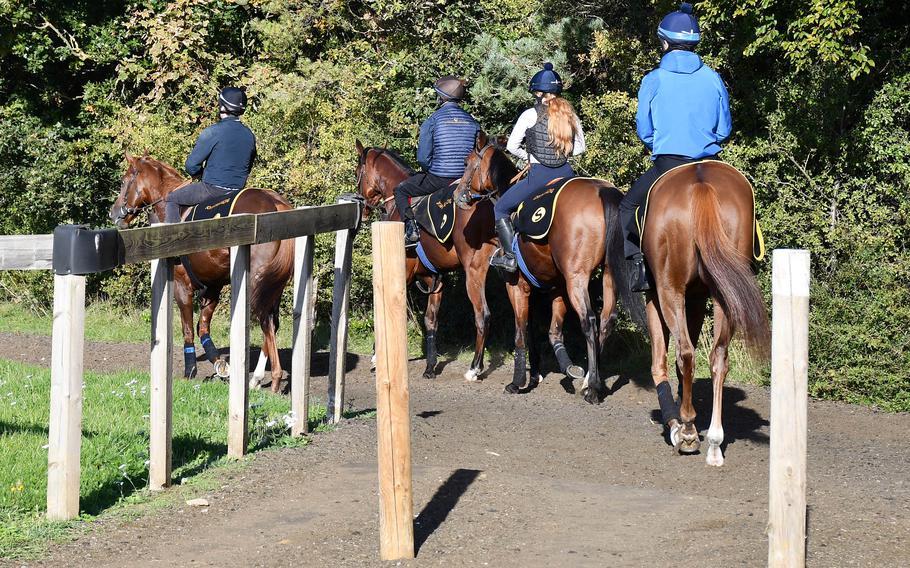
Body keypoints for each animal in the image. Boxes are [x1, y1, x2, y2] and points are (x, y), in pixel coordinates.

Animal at [111, 153, 294, 392]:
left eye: (124, 182)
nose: (114, 213)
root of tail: (278, 205)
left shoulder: (182, 286)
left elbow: (188, 329)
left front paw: (190, 371)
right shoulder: (213, 288)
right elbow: (203, 328)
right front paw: (219, 364)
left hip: (257, 284)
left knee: (267, 323)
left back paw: (274, 379)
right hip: (274, 286)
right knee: (272, 321)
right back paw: (256, 379)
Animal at [356, 140, 498, 380]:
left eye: (358, 172)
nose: (364, 208)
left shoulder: (403, 273)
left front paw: (377, 356)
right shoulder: (434, 278)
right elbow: (431, 320)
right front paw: (430, 367)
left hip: (474, 272)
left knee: (483, 315)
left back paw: (474, 368)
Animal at [454, 133, 640, 402]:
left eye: (468, 163)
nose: (458, 194)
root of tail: (603, 191)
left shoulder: (517, 285)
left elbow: (521, 331)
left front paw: (517, 382)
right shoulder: (554, 288)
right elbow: (547, 331)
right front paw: (551, 370)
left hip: (577, 278)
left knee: (589, 320)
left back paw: (592, 389)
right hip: (608, 274)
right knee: (606, 320)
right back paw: (589, 380)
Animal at [644, 160, 772, 466]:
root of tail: (701, 185)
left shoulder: (654, 295)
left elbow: (660, 361)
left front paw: (675, 426)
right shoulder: (698, 298)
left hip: (670, 290)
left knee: (686, 354)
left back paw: (689, 431)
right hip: (723, 293)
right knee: (719, 357)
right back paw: (714, 442)